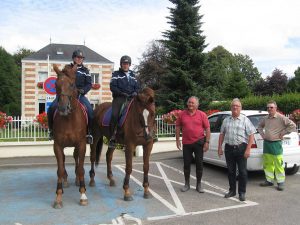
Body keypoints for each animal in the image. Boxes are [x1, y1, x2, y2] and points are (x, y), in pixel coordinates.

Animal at [51, 64, 88, 208]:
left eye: (72, 84)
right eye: (56, 84)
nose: (62, 108)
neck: (69, 119)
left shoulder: (82, 144)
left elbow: (82, 168)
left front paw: (83, 195)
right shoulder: (57, 145)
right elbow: (60, 170)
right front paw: (58, 197)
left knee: (76, 159)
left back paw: (77, 180)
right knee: (64, 160)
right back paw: (66, 180)